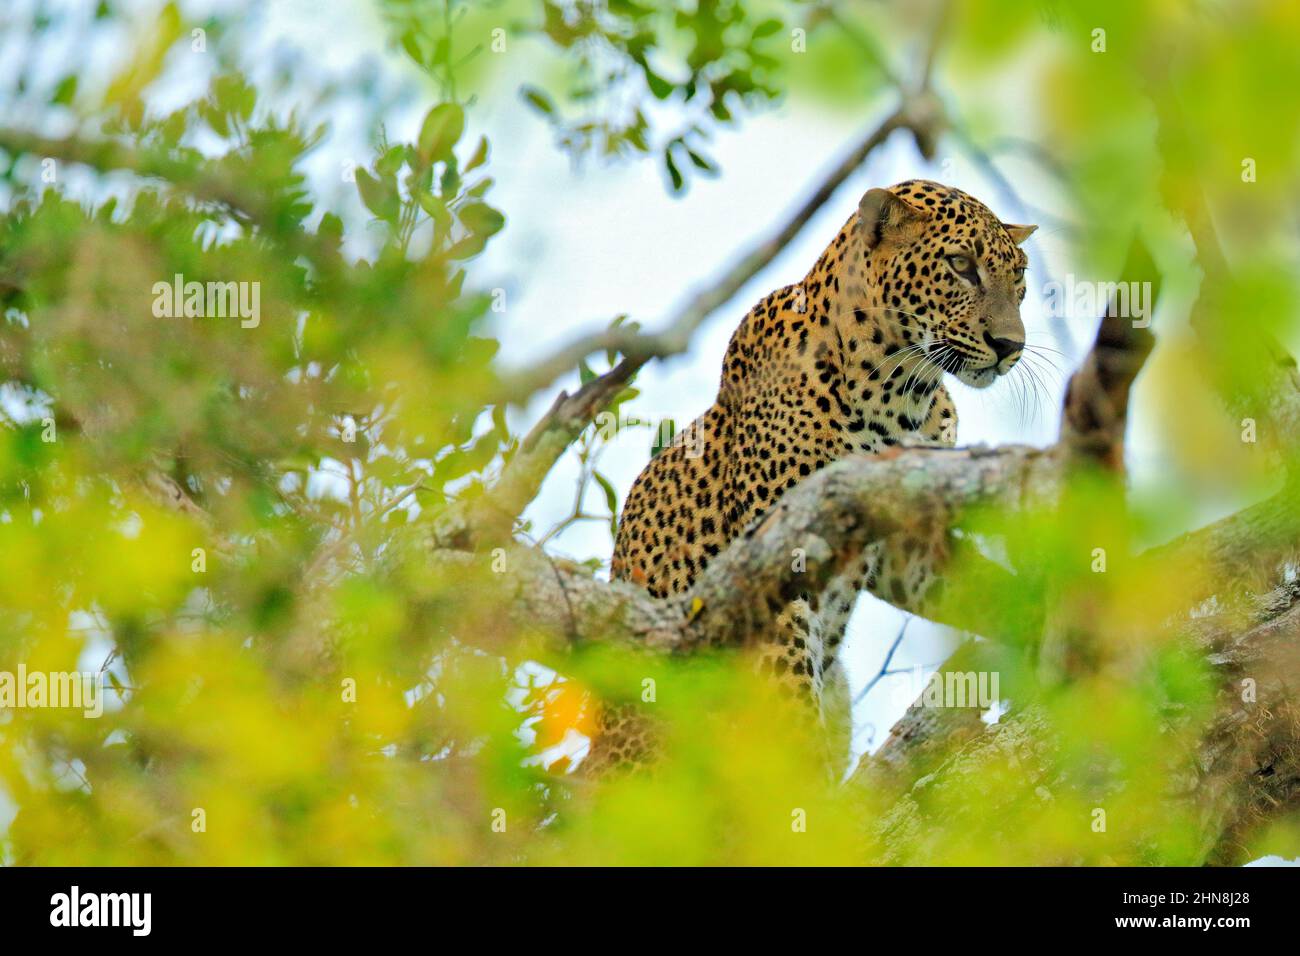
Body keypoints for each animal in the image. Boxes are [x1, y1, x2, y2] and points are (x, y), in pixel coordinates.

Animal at [590, 178, 1034, 780]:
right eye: (961, 265)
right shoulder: (777, 558)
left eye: (1021, 281)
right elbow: (790, 698)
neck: (902, 392)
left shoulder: (903, 544)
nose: (1011, 345)